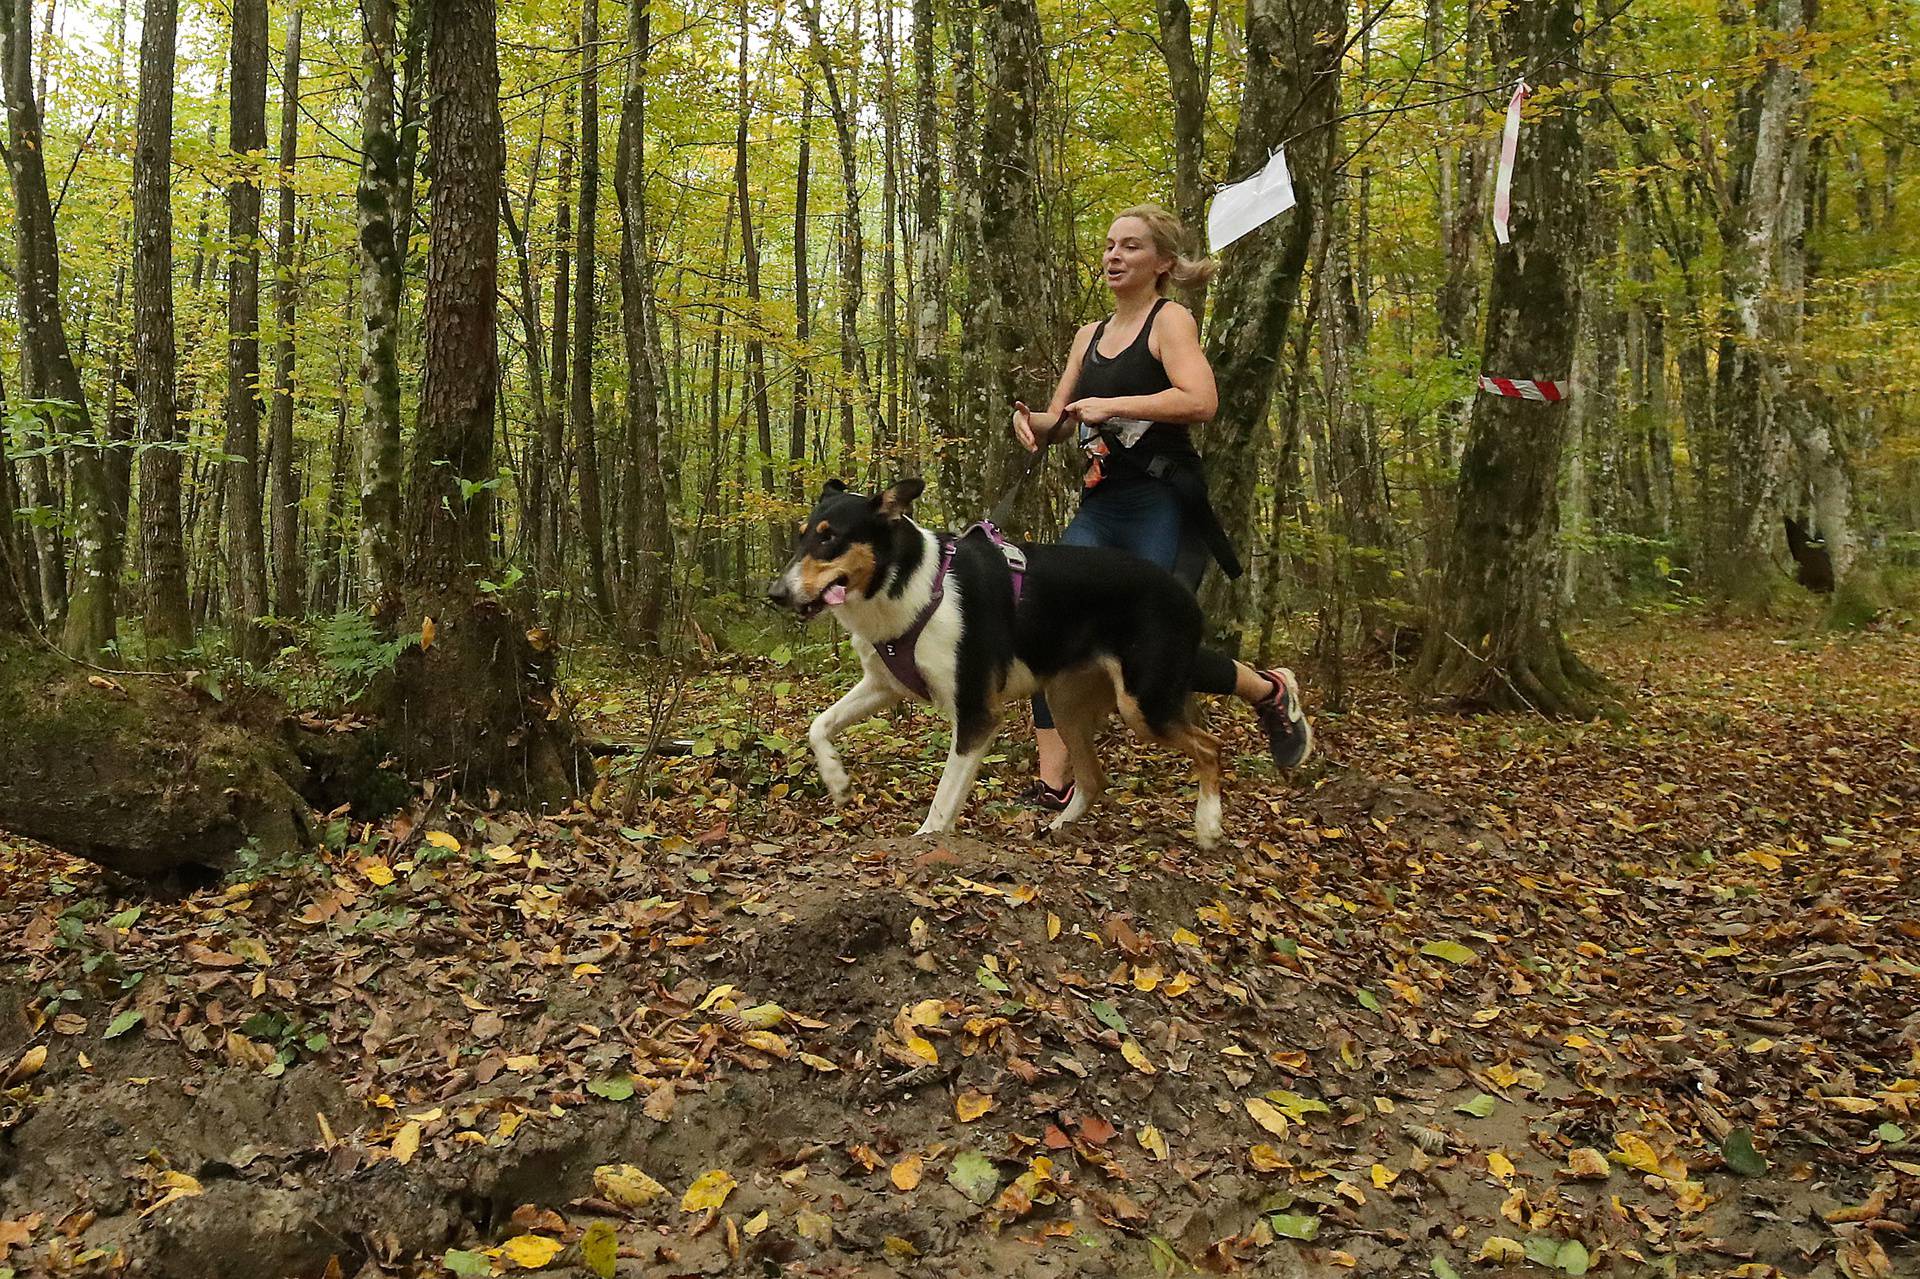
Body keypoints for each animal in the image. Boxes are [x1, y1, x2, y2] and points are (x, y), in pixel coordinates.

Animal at [771, 478, 1221, 844]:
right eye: (801, 537)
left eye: (830, 539)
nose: (776, 594)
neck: (911, 584)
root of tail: (1184, 593)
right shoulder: (882, 685)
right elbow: (818, 725)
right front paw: (837, 780)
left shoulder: (976, 712)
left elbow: (944, 798)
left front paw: (927, 838)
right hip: (1066, 704)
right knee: (1093, 778)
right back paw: (1060, 827)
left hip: (1141, 703)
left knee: (1210, 746)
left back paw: (1209, 825)